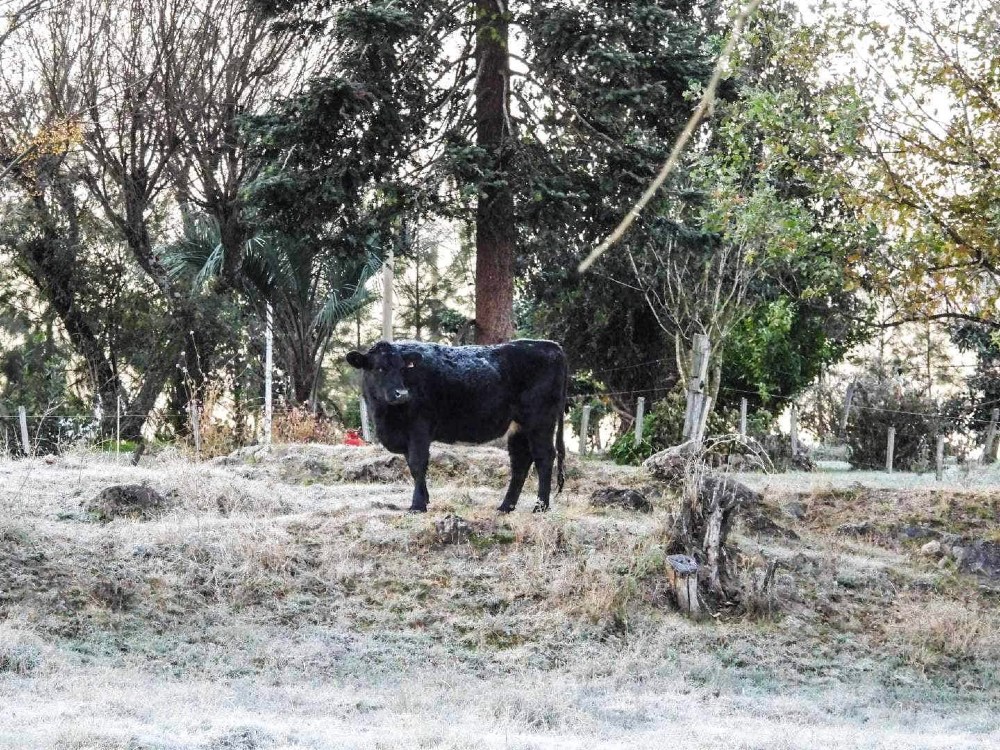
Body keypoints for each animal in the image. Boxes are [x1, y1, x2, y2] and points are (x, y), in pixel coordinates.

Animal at [346, 344, 568, 516]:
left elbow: (418, 464)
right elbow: (411, 465)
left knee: (544, 457)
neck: (385, 417)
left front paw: (417, 506)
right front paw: (425, 499)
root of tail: (552, 346)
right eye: (379, 368)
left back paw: (540, 507)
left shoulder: (419, 428)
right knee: (521, 462)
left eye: (402, 369)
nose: (402, 393)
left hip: (540, 420)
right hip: (519, 427)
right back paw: (505, 507)